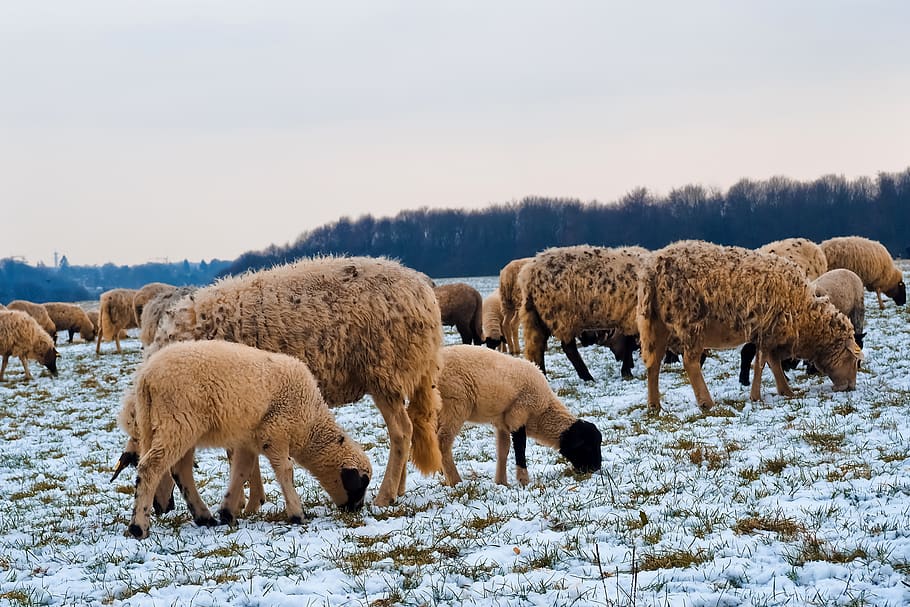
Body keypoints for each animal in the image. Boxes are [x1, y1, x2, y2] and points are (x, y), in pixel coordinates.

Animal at [119, 339, 372, 539]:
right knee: (151, 468)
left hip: (171, 426)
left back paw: (204, 517)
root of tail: (146, 378)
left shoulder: (249, 440)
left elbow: (241, 471)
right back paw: (139, 527)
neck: (310, 425)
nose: (355, 510)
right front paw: (297, 513)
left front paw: (227, 512)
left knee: (180, 469)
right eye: (362, 483)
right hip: (178, 421)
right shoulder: (276, 431)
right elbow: (285, 470)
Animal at [134, 255, 443, 508]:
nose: (160, 507)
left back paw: (385, 495)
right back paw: (398, 490)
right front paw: (252, 501)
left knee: (401, 431)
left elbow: (239, 457)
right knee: (409, 428)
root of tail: (423, 288)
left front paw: (246, 503)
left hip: (384, 371)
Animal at [436, 345, 602, 487]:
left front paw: (501, 482)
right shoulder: (519, 414)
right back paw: (455, 481)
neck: (543, 412)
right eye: (588, 446)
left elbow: (503, 450)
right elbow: (520, 447)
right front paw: (524, 481)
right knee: (443, 441)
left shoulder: (502, 422)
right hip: (455, 404)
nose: (596, 468)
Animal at [519, 245, 648, 382]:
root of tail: (528, 274)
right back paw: (587, 377)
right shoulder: (631, 317)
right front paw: (627, 371)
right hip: (562, 315)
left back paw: (542, 374)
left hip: (537, 316)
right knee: (568, 349)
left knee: (536, 346)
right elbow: (629, 343)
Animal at [637, 240, 862, 412]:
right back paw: (706, 403)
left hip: (656, 322)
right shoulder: (767, 328)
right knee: (690, 362)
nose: (850, 387)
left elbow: (772, 362)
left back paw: (654, 405)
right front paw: (757, 396)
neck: (804, 315)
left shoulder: (770, 332)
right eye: (853, 359)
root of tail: (653, 269)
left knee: (653, 363)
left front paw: (785, 391)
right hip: (690, 321)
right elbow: (761, 363)